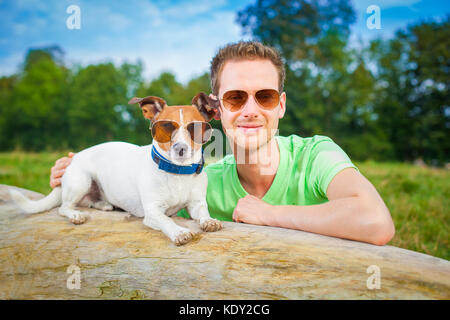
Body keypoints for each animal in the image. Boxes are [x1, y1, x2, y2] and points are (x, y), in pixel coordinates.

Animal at [7, 92, 222, 245]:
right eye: (166, 128)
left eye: (195, 128)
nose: (180, 149)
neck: (177, 171)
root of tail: (75, 158)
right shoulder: (153, 211)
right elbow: (167, 221)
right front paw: (179, 232)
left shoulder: (196, 204)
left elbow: (203, 213)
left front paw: (209, 221)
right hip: (81, 181)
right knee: (64, 208)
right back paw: (76, 215)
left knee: (89, 202)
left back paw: (103, 204)